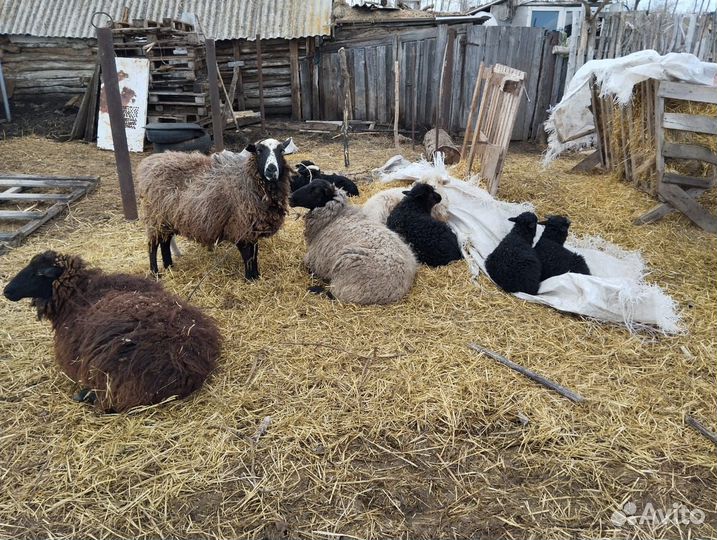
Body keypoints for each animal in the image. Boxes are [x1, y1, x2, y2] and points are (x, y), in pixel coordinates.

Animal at [137, 138, 294, 280]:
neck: (246, 177)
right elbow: (247, 255)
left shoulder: (252, 229)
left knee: (164, 242)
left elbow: (254, 254)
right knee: (153, 245)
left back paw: (169, 266)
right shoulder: (239, 227)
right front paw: (250, 278)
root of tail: (148, 163)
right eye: (259, 150)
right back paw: (155, 272)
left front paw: (256, 275)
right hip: (155, 217)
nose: (271, 169)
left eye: (281, 151)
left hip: (168, 219)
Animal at [289, 179, 418, 305]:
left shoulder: (315, 261)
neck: (334, 217)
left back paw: (314, 289)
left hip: (351, 279)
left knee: (335, 294)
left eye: (315, 190)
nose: (290, 198)